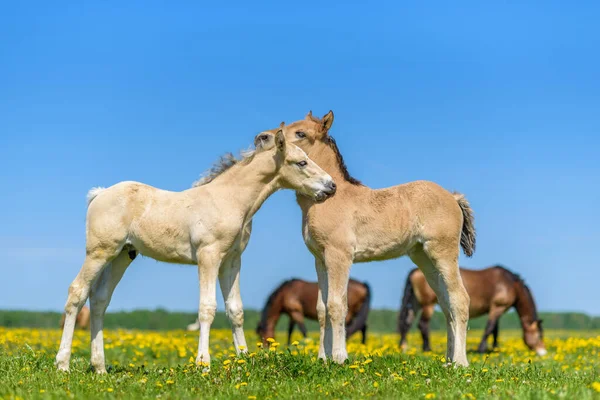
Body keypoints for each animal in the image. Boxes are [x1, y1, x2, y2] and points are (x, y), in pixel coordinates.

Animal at [398, 268, 544, 354]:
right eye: (539, 335)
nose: (543, 352)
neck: (510, 284)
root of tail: (415, 271)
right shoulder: (498, 307)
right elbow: (489, 328)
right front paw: (481, 349)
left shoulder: (495, 309)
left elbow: (495, 330)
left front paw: (494, 349)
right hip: (428, 304)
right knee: (422, 324)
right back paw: (427, 349)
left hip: (416, 303)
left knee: (407, 323)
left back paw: (403, 347)